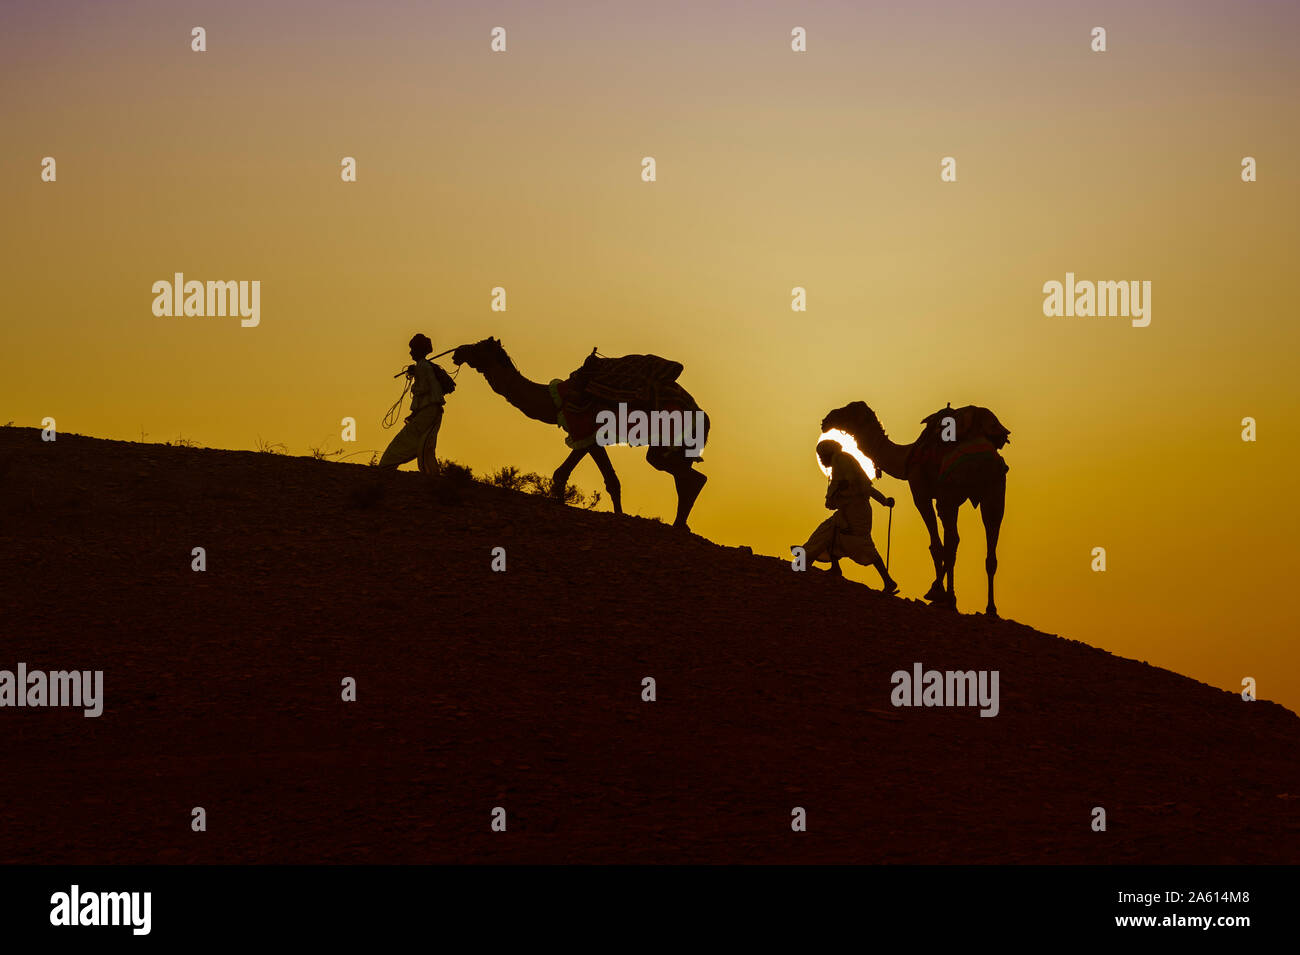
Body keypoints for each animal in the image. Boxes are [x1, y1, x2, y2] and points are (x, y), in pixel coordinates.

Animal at [449, 335, 712, 530]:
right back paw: (682, 524)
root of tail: (702, 413)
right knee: (687, 477)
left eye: (478, 347)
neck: (554, 399)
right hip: (679, 447)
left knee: (691, 477)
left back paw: (679, 525)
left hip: (669, 437)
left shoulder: (586, 430)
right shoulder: (584, 435)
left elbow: (607, 480)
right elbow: (565, 474)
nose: (457, 352)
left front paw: (617, 514)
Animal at [821, 402, 1003, 613]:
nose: (826, 420)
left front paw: (940, 595)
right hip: (995, 492)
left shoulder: (921, 492)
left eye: (849, 409)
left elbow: (936, 545)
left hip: (951, 493)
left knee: (953, 540)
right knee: (989, 548)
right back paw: (990, 609)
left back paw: (941, 595)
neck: (907, 455)